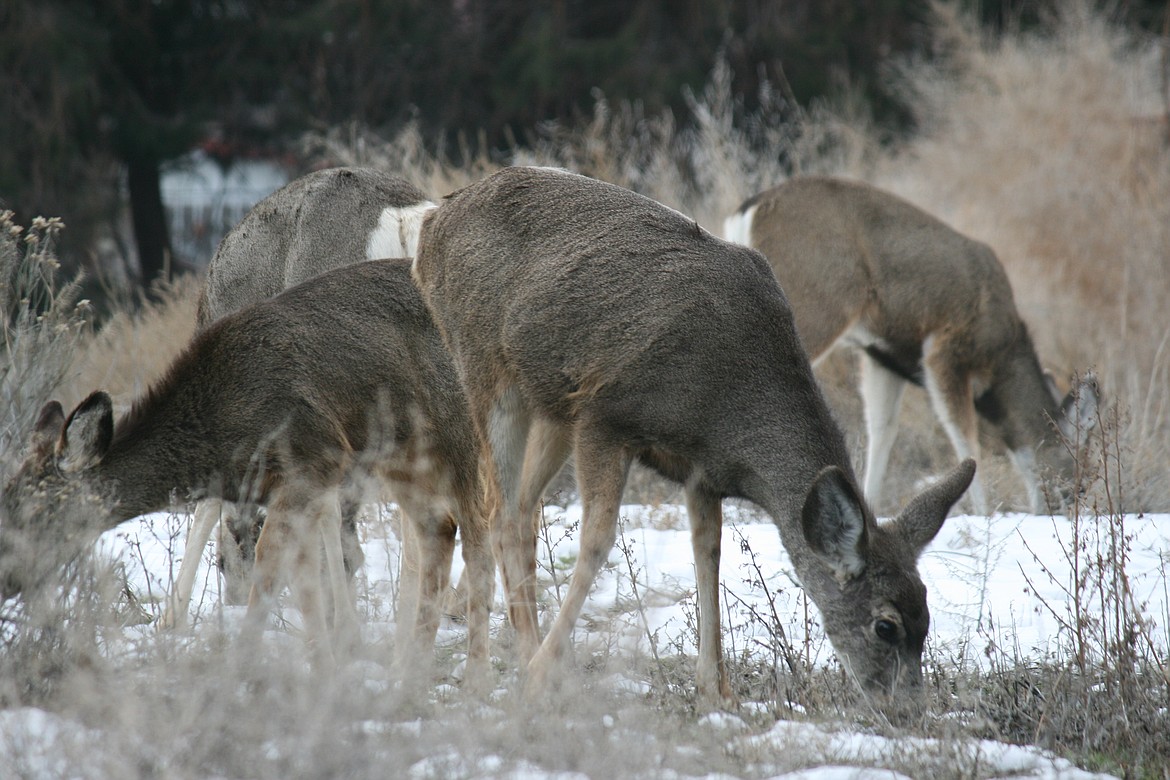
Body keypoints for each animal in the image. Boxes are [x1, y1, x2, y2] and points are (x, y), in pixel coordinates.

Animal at [0, 260, 491, 678]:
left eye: (38, 514)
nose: (7, 579)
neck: (219, 437)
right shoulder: (292, 486)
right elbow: (304, 578)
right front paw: (326, 666)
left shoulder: (312, 456)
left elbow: (271, 566)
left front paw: (247, 665)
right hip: (404, 456)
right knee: (438, 528)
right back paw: (409, 671)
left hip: (463, 431)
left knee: (479, 542)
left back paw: (475, 681)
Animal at [411, 168, 978, 711]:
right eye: (886, 625)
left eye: (926, 619)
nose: (908, 711)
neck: (730, 404)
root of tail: (432, 225)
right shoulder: (605, 415)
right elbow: (597, 542)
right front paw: (537, 677)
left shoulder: (703, 471)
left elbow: (709, 555)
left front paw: (717, 690)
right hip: (485, 368)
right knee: (500, 513)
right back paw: (529, 662)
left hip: (550, 402)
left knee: (524, 511)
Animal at [720, 178, 1095, 519]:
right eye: (1077, 469)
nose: (1072, 506)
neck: (1003, 354)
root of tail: (749, 209)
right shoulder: (945, 349)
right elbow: (963, 435)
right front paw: (983, 513)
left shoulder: (882, 356)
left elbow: (883, 428)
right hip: (816, 302)